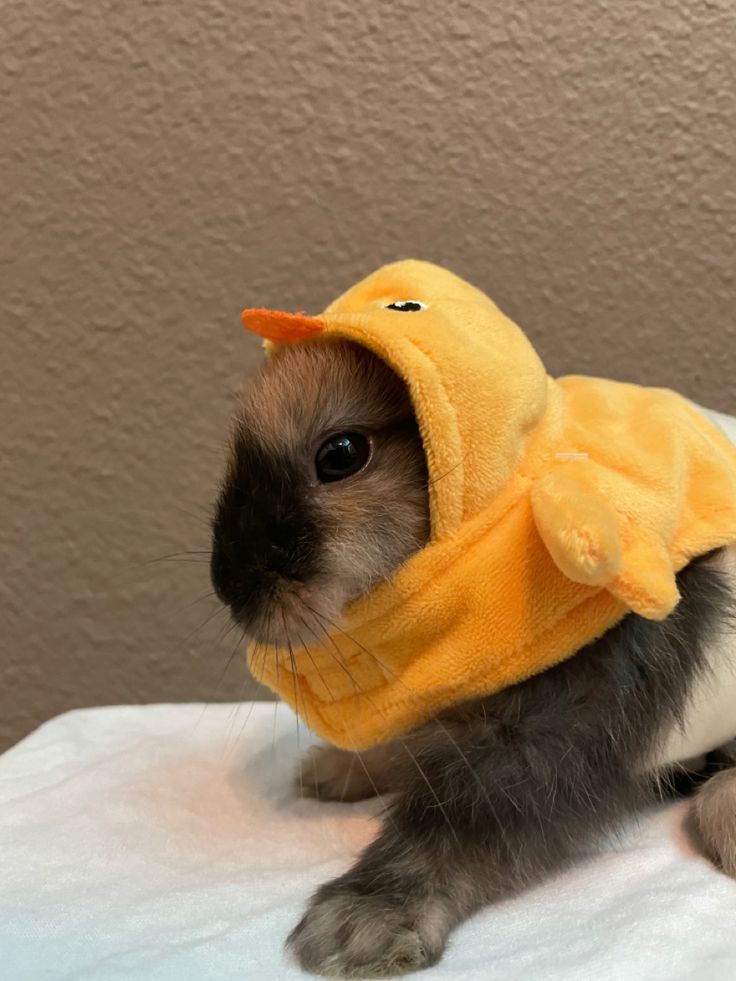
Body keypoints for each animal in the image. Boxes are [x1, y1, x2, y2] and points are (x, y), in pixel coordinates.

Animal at [210, 336, 736, 980]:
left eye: (341, 455)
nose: (230, 586)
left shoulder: (540, 740)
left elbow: (456, 820)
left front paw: (362, 923)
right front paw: (334, 771)